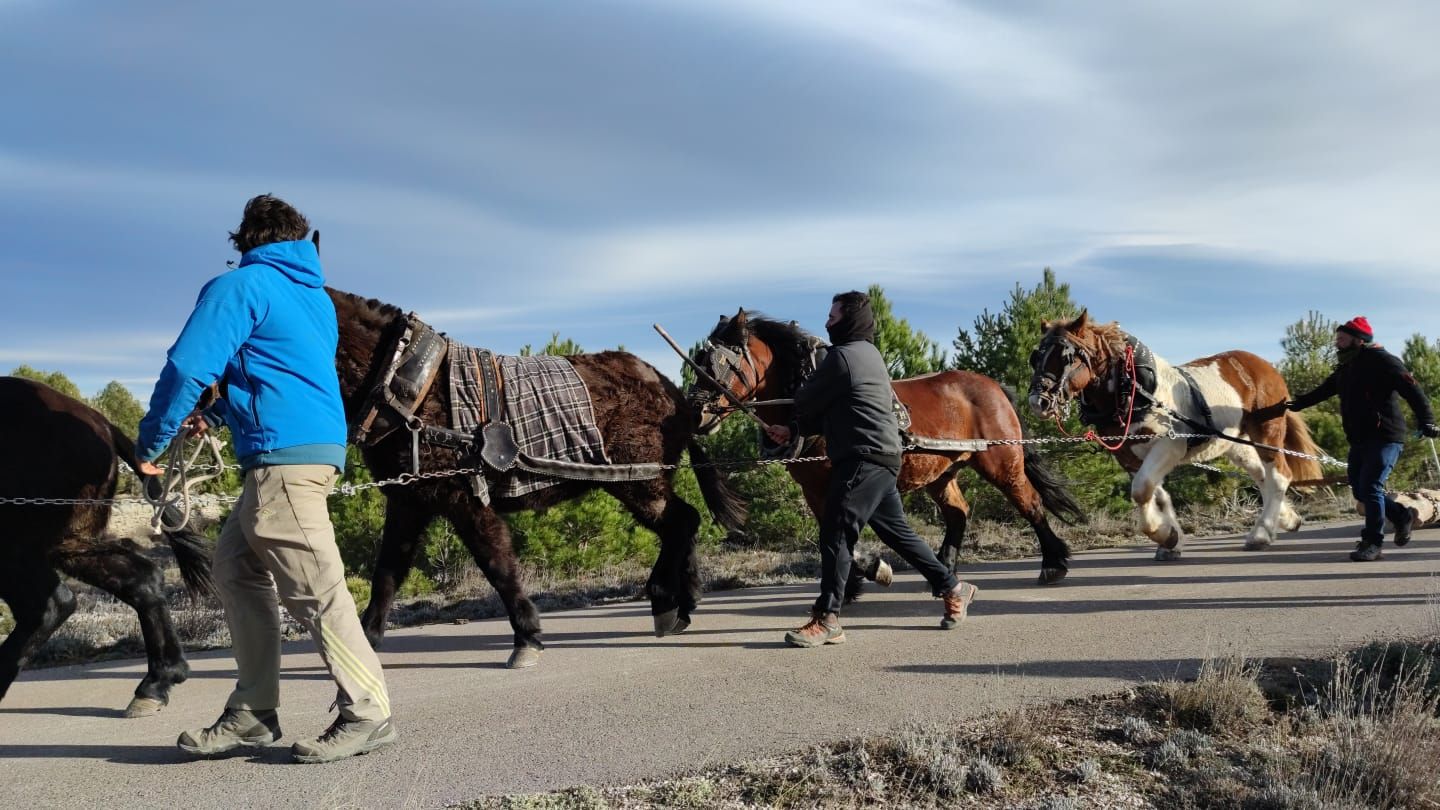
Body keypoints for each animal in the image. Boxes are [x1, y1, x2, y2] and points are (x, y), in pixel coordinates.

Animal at [0, 374, 214, 711]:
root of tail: (98, 421)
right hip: (69, 546)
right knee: (141, 580)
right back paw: (159, 680)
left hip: (17, 551)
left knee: (49, 606)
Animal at [329, 286, 748, 665]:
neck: (409, 383)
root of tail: (671, 389)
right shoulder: (409, 502)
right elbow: (387, 574)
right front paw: (364, 643)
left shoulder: (466, 496)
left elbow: (497, 563)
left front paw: (526, 635)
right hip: (639, 483)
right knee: (685, 523)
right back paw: (685, 600)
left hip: (639, 481)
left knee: (680, 523)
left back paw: (663, 599)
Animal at [685, 306, 1082, 579]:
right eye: (699, 358)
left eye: (719, 362)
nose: (695, 414)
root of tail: (994, 386)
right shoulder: (815, 488)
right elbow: (831, 535)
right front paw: (859, 576)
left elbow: (841, 533)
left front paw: (868, 571)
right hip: (941, 470)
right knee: (957, 513)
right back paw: (945, 566)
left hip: (1001, 461)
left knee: (1028, 501)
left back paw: (1053, 564)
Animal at [1031, 308, 1319, 553]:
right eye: (1035, 358)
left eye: (1066, 357)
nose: (1038, 401)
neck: (1133, 389)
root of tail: (1265, 365)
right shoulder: (1128, 456)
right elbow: (1155, 493)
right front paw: (1171, 538)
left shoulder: (1169, 445)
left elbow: (1142, 489)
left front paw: (1163, 534)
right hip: (1238, 443)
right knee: (1261, 475)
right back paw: (1287, 519)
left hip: (1266, 431)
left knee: (1279, 476)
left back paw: (1261, 533)